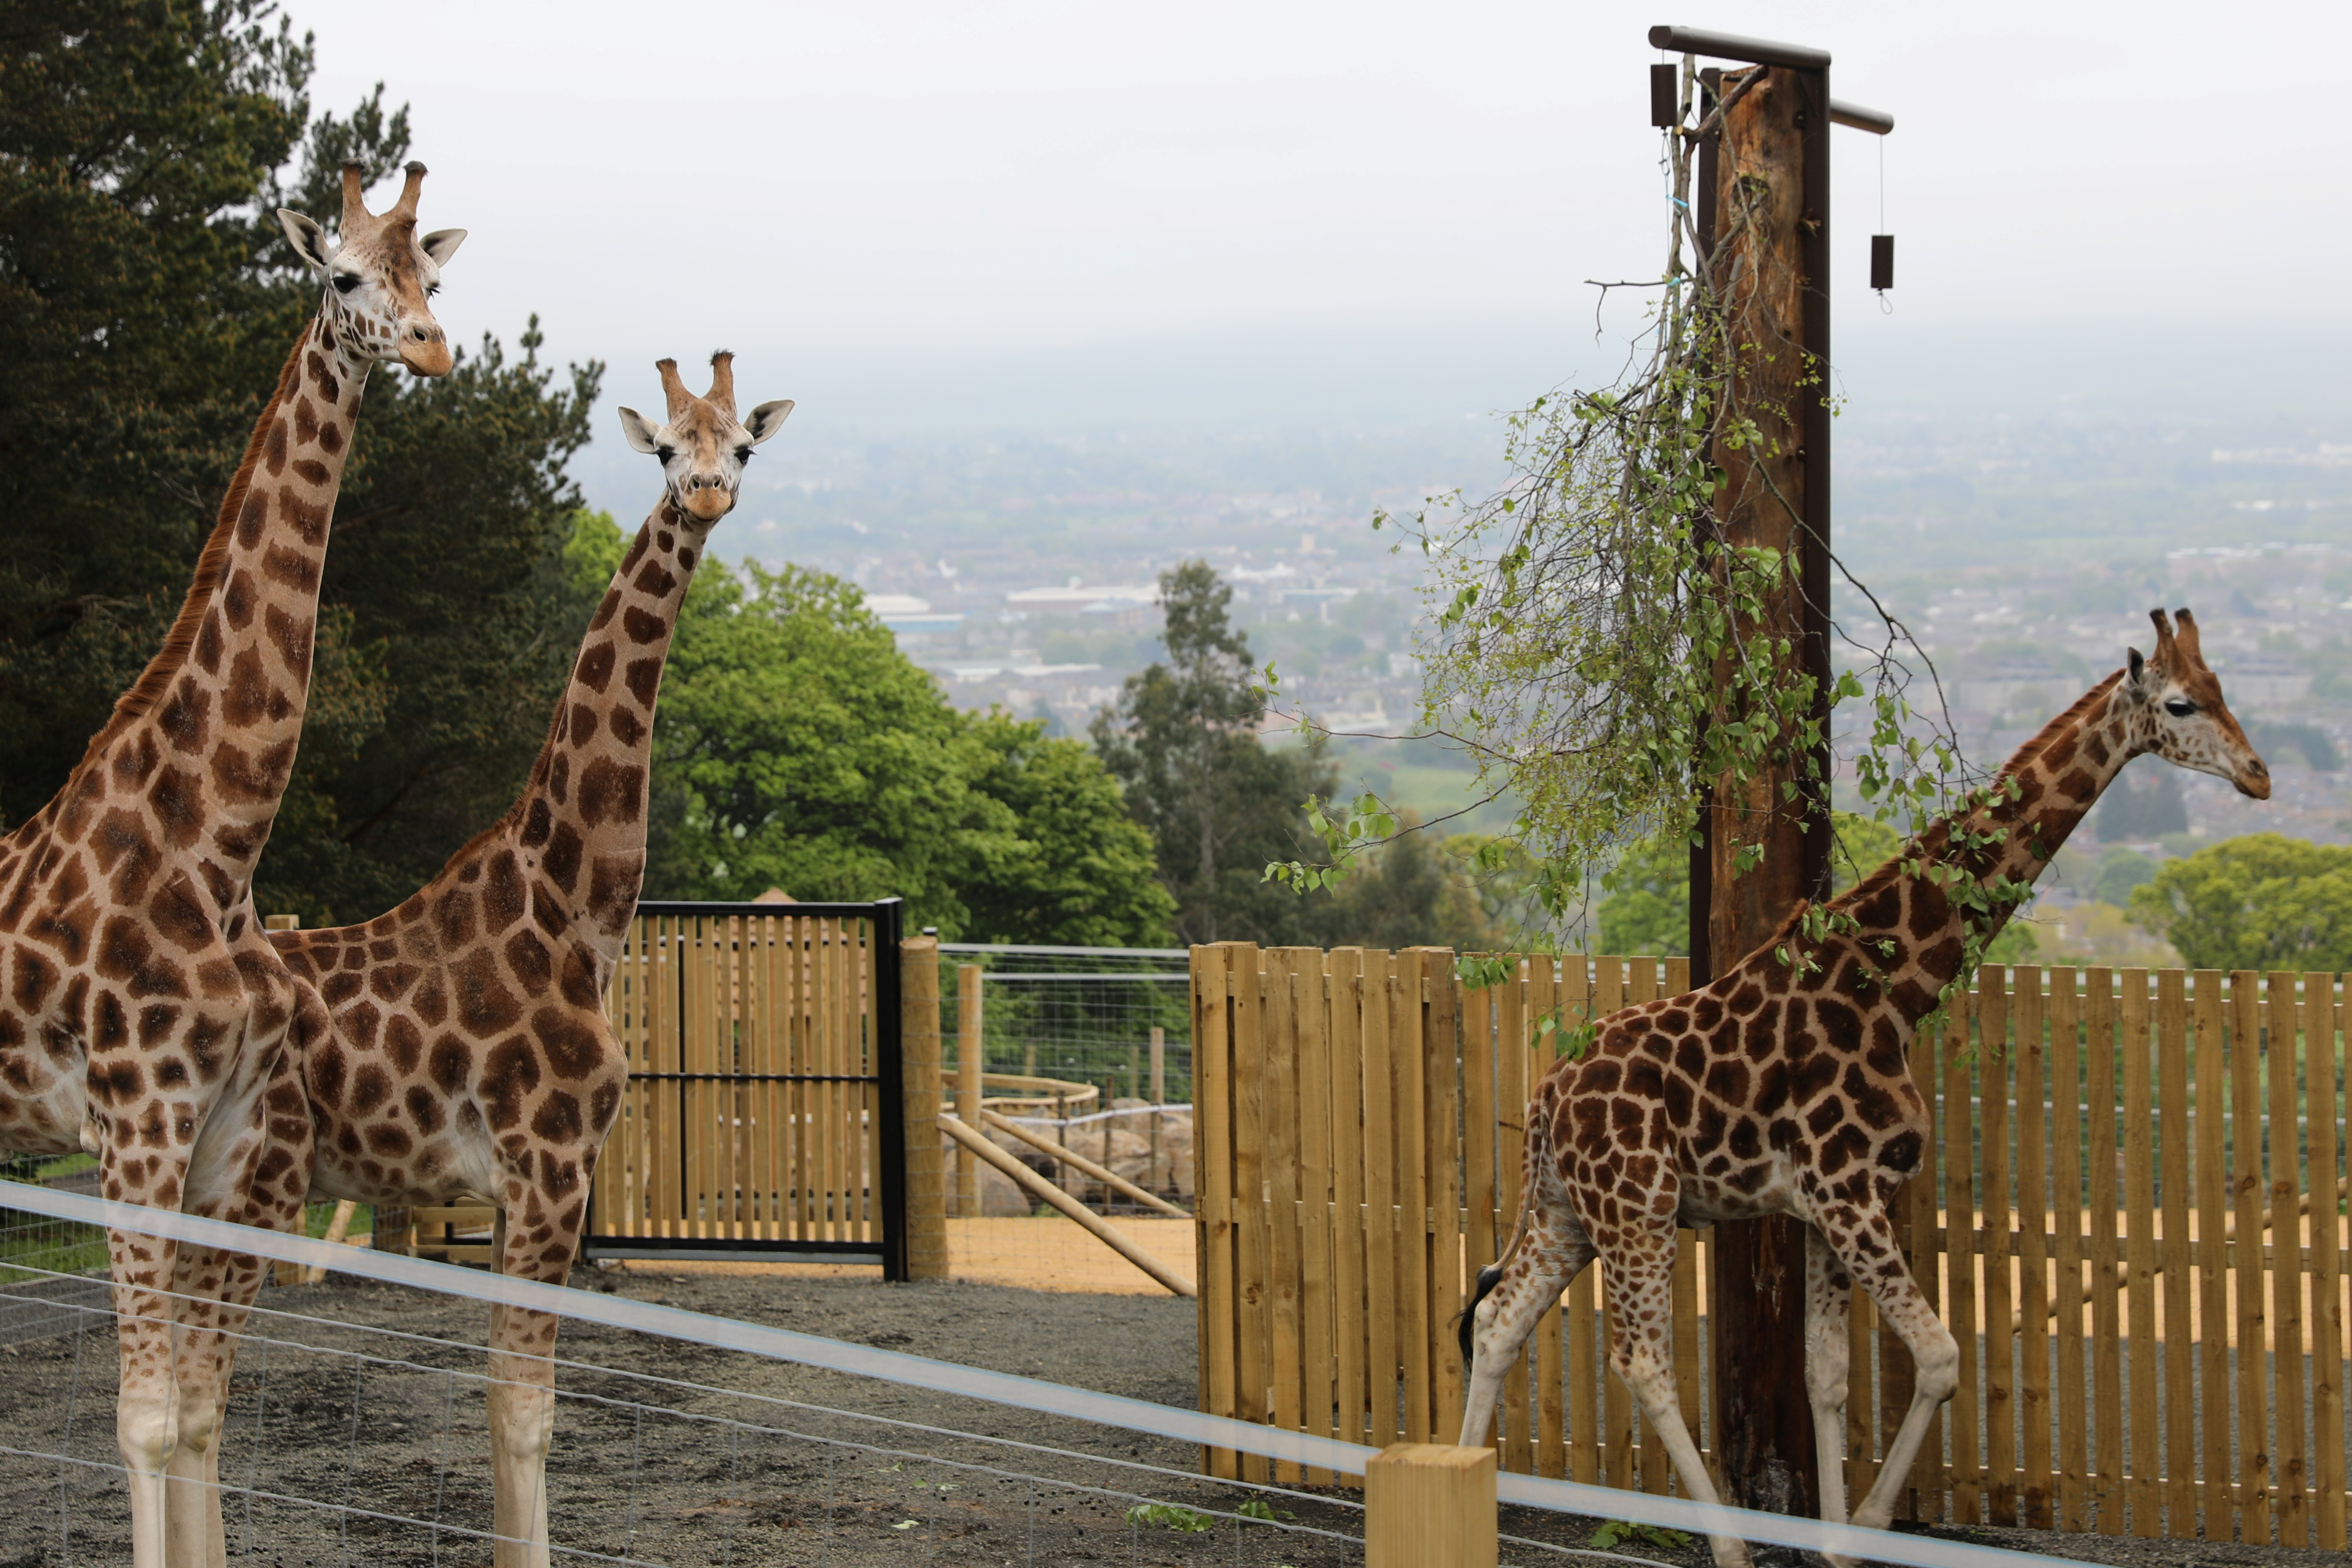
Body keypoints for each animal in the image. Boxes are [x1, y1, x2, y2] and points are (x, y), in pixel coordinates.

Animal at [0, 162, 465, 1568]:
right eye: (344, 276)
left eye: (436, 273)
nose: (433, 347)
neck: (215, 838)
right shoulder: (135, 1124)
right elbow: (146, 1417)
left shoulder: (222, 1134)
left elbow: (204, 1411)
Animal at [271, 355, 795, 1568]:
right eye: (666, 447)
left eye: (742, 446)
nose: (704, 494)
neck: (571, 906)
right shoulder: (551, 1159)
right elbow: (525, 1403)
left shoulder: (523, 1182)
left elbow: (502, 1396)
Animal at [1458, 611, 2267, 1568]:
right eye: (2181, 703)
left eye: (2224, 687)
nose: (2258, 774)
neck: (1895, 988)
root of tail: (1546, 1101)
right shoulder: (1848, 1191)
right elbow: (1942, 1358)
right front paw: (1872, 1527)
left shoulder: (1825, 1205)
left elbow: (1829, 1375)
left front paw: (1837, 1544)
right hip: (1638, 1211)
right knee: (1642, 1361)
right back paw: (1729, 1545)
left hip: (1566, 1214)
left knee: (1498, 1319)